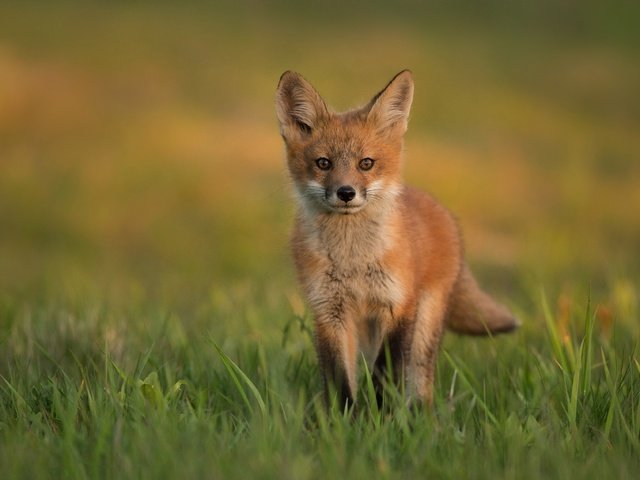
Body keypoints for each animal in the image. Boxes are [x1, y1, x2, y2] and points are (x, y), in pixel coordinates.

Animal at [274, 71, 516, 408]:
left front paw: (382, 415)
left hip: (424, 324)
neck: (353, 260)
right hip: (365, 330)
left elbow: (385, 373)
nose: (346, 192)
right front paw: (344, 418)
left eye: (366, 163)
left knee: (419, 379)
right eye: (323, 163)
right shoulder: (329, 311)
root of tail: (443, 213)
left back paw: (418, 414)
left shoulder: (398, 305)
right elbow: (340, 380)